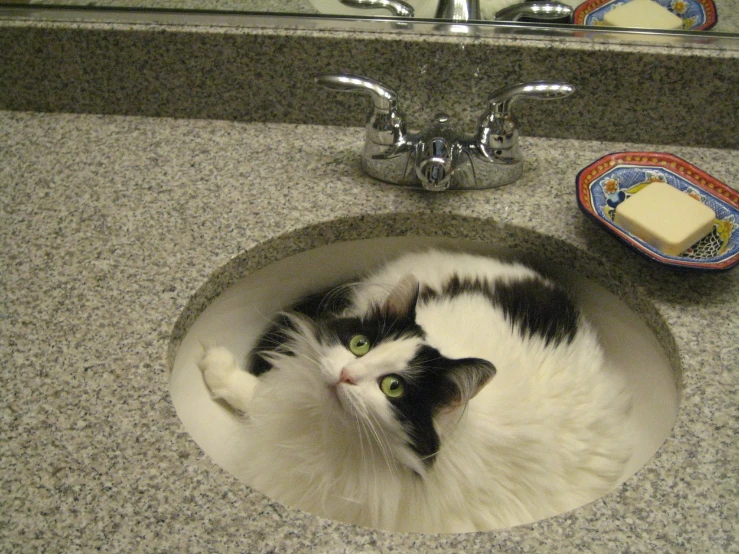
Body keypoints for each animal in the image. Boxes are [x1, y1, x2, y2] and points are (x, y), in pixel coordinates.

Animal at [199, 247, 632, 532]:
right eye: (360, 345)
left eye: (393, 387)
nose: (346, 375)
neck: (327, 435)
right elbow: (258, 394)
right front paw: (216, 368)